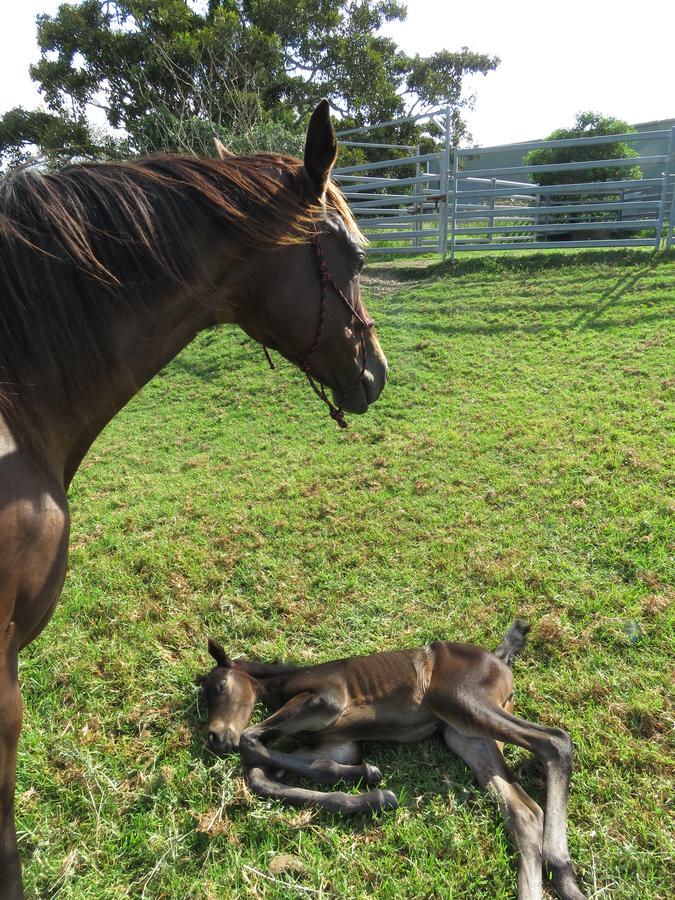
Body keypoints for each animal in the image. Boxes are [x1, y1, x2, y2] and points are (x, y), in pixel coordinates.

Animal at [201, 624, 588, 900]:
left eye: (219, 687)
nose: (216, 737)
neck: (289, 680)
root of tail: (498, 657)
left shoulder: (327, 699)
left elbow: (250, 742)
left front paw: (368, 778)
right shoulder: (338, 745)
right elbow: (260, 773)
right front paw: (371, 794)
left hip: (460, 700)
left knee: (555, 742)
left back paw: (563, 872)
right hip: (464, 735)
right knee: (524, 812)